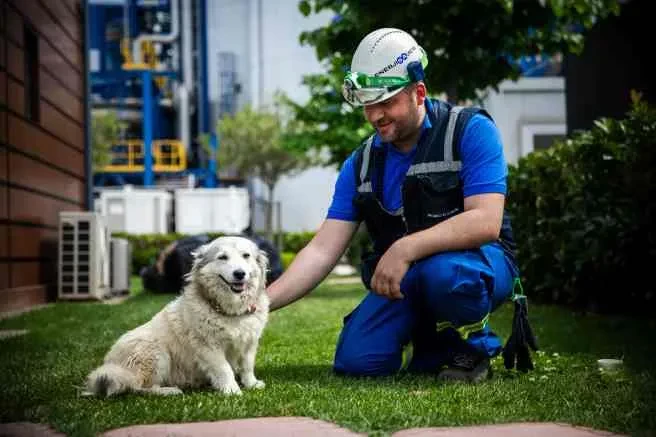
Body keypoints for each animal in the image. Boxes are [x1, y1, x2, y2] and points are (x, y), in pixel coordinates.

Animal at [84, 235, 270, 396]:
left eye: (246, 256)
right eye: (223, 257)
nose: (239, 273)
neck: (230, 310)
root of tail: (112, 364)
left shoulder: (249, 343)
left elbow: (247, 366)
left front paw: (251, 384)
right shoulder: (209, 347)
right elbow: (224, 369)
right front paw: (231, 391)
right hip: (156, 352)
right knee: (139, 387)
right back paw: (168, 391)